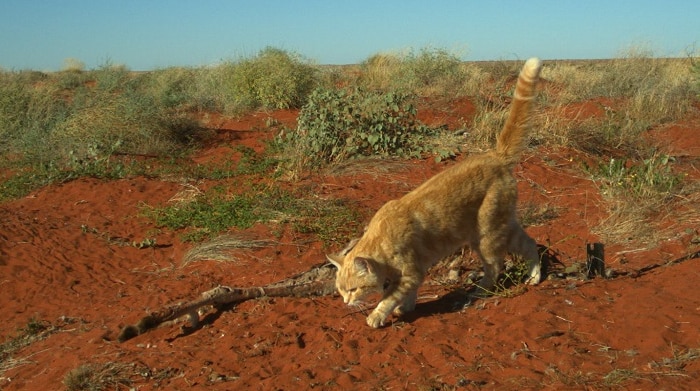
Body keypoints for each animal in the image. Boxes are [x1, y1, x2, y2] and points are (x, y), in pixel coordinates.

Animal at [330, 57, 548, 328]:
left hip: (487, 235)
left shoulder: (411, 273)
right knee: (530, 243)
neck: (380, 241)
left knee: (496, 265)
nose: (346, 302)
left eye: (353, 289)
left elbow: (388, 298)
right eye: (340, 290)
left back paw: (480, 291)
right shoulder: (415, 273)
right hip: (503, 225)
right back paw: (534, 277)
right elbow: (407, 295)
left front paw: (376, 316)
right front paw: (406, 308)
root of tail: (495, 155)